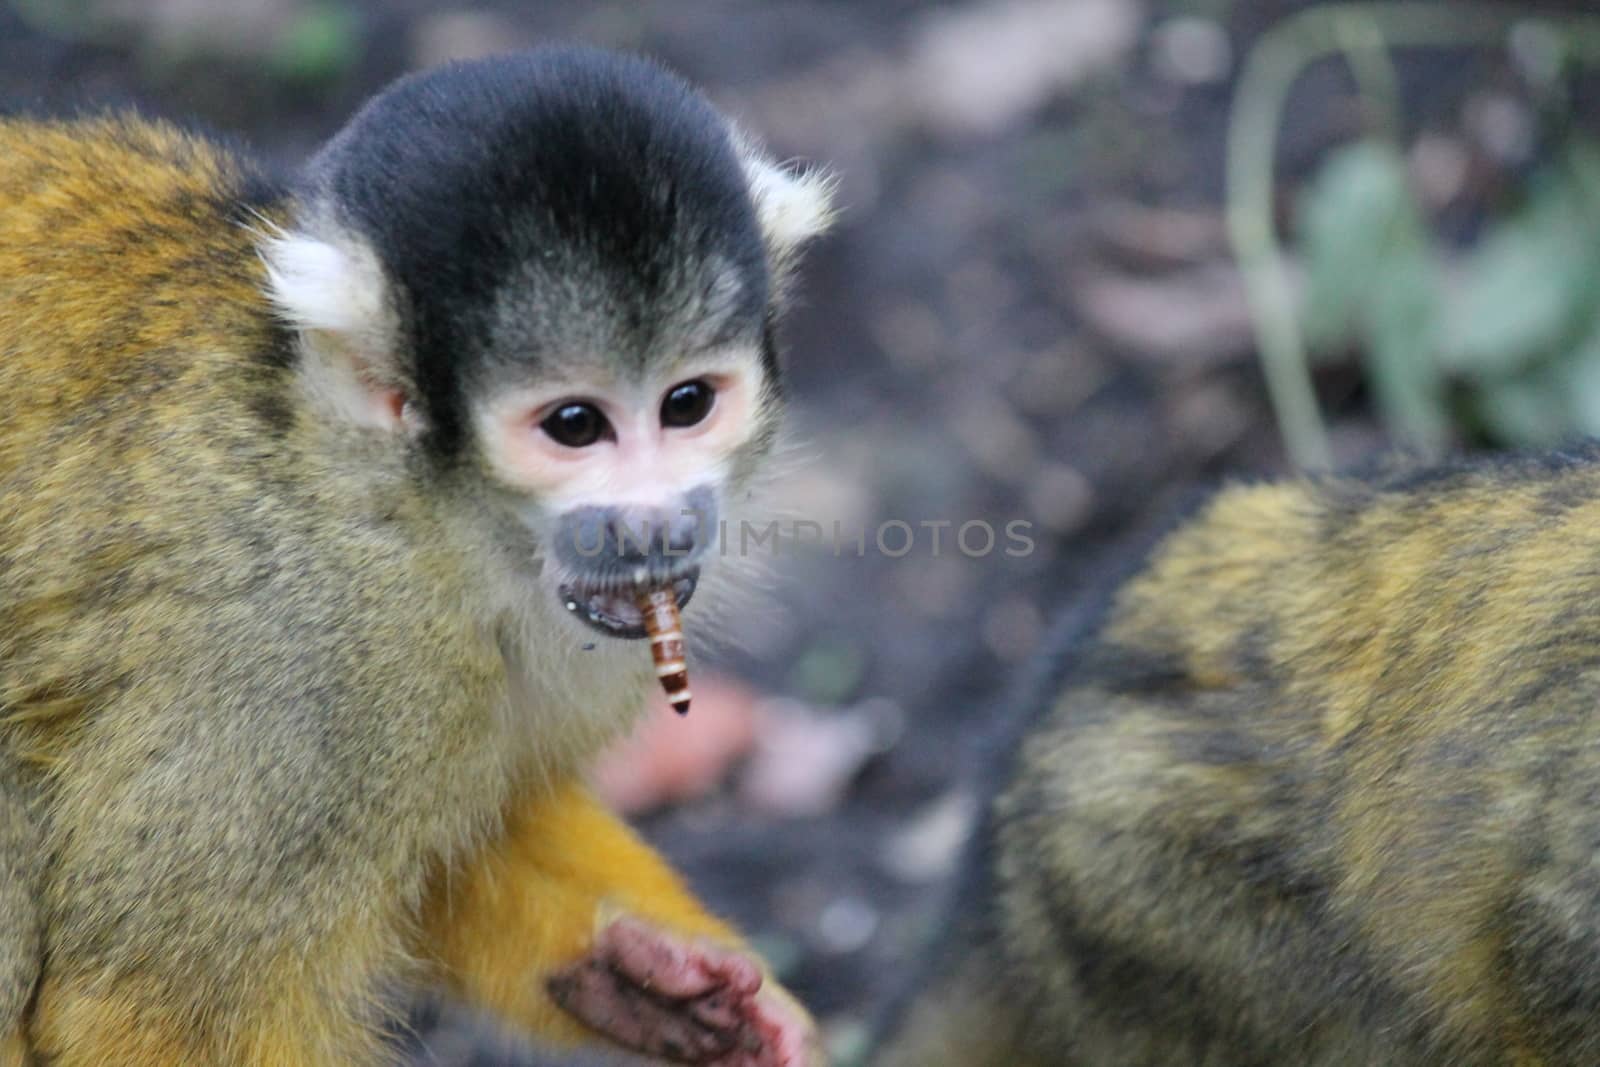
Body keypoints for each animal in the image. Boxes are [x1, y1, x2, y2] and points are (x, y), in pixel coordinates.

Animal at [3, 45, 838, 1062]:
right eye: (575, 425)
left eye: (687, 404)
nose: (656, 526)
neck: (425, 517)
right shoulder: (305, 662)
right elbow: (157, 1003)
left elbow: (471, 838)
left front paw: (643, 977)